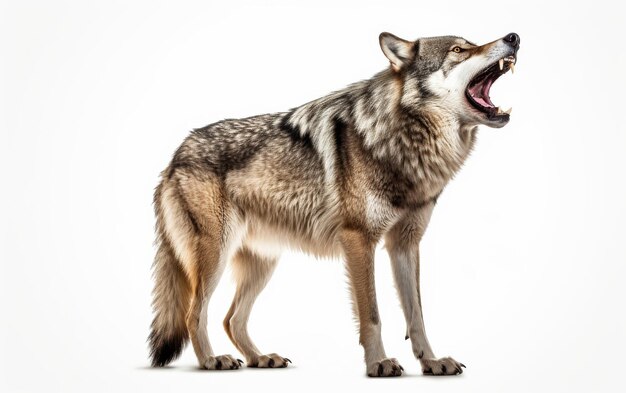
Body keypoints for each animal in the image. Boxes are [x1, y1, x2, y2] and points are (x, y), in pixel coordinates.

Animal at [146, 31, 516, 376]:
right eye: (459, 50)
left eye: (469, 44)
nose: (513, 38)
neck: (402, 141)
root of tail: (175, 155)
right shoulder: (359, 240)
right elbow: (372, 315)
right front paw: (379, 363)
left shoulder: (404, 245)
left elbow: (417, 316)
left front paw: (432, 362)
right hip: (215, 255)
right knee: (195, 314)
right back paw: (212, 360)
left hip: (263, 264)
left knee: (231, 319)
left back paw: (260, 358)